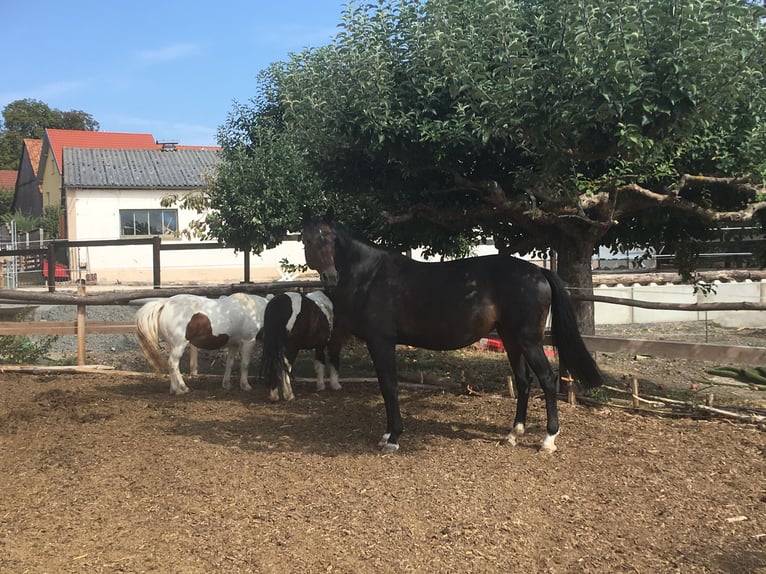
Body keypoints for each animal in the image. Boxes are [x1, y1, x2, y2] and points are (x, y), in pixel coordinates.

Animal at [135, 293, 268, 395]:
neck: (253, 309)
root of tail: (165, 303)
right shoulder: (249, 342)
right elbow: (245, 365)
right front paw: (245, 385)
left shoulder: (233, 344)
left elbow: (229, 364)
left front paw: (226, 384)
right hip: (179, 345)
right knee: (173, 364)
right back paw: (183, 388)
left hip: (173, 345)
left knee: (171, 365)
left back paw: (175, 390)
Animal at [301, 206, 603, 453]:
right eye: (308, 240)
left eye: (331, 238)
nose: (330, 276)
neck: (371, 275)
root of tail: (538, 272)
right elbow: (386, 386)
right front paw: (386, 434)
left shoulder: (382, 342)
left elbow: (389, 386)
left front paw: (393, 438)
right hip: (511, 339)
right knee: (523, 380)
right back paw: (513, 434)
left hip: (529, 341)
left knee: (547, 379)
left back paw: (548, 440)